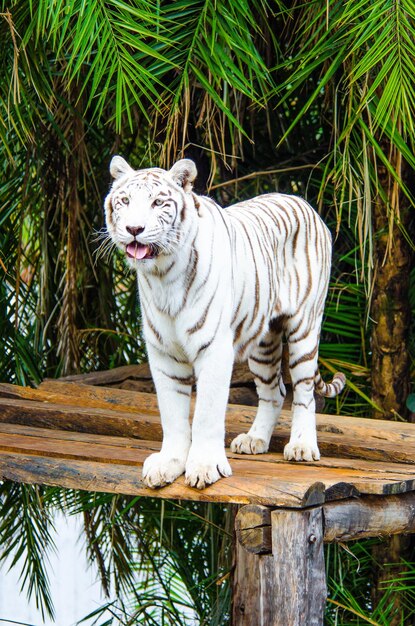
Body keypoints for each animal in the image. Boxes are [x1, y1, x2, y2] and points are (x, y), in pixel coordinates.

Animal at [105, 155, 346, 488]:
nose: (134, 229)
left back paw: (301, 446)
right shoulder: (164, 353)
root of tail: (302, 201)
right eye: (125, 201)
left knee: (304, 391)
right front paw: (169, 464)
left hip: (304, 328)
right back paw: (255, 440)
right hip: (263, 341)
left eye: (157, 203)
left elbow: (206, 414)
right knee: (275, 392)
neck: (163, 275)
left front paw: (204, 467)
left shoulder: (214, 348)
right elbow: (172, 414)